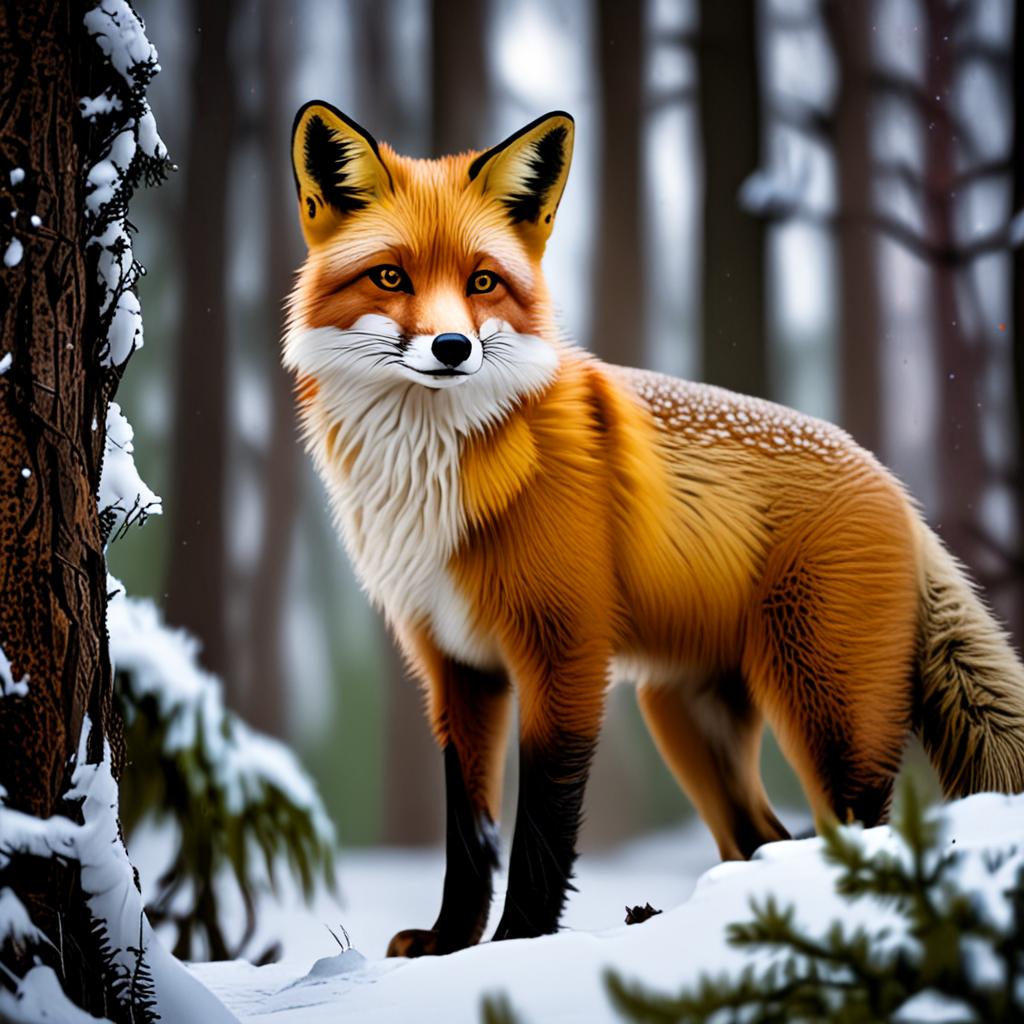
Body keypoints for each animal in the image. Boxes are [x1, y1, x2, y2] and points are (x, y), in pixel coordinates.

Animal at [283, 100, 1024, 958]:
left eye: (483, 283)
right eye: (391, 276)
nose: (452, 347)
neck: (438, 476)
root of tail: (894, 484)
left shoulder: (564, 654)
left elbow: (543, 827)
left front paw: (517, 948)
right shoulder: (455, 666)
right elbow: (469, 832)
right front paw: (448, 947)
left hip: (826, 713)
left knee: (854, 831)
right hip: (687, 720)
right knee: (766, 838)